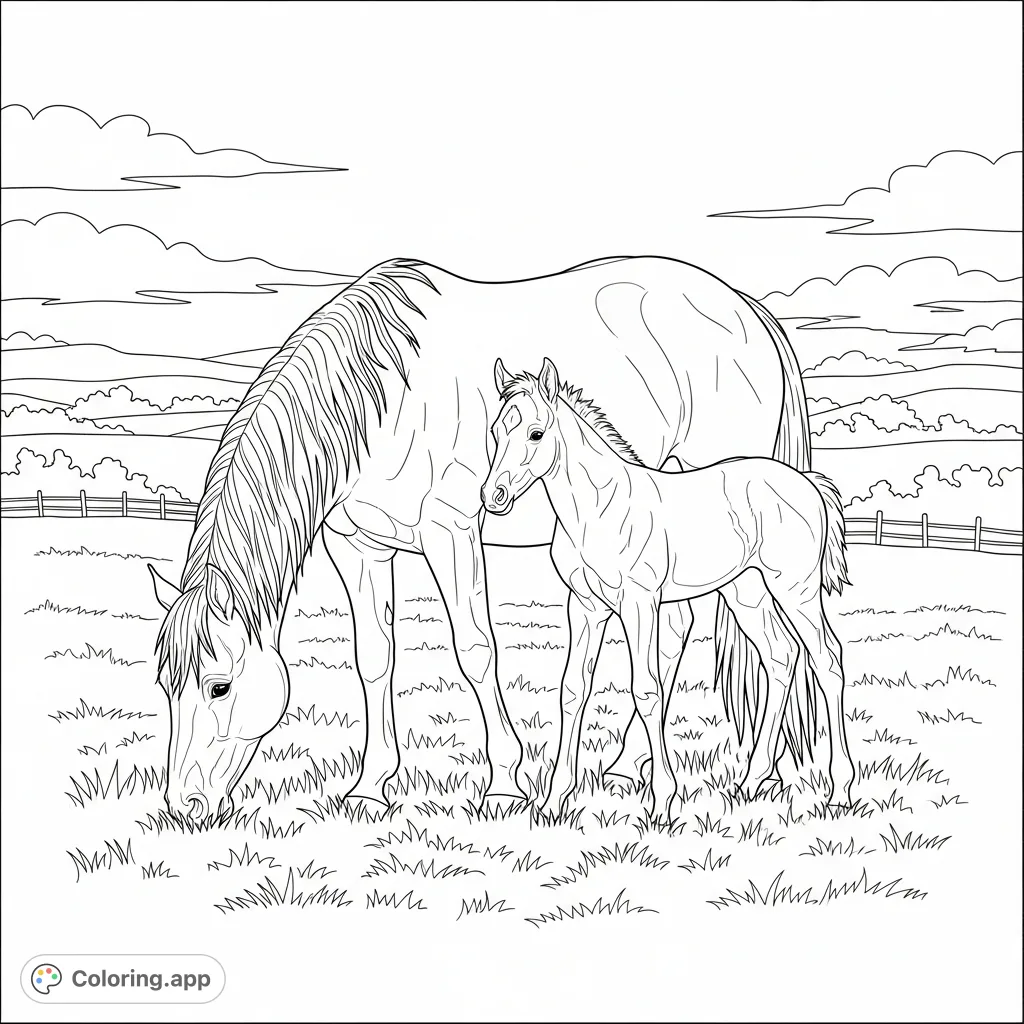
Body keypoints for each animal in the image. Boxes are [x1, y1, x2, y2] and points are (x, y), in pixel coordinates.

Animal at [147, 255, 811, 822]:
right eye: (164, 686)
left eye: (218, 686)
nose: (184, 808)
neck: (383, 398)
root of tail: (753, 314)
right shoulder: (358, 545)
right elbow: (374, 658)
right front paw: (371, 786)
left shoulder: (450, 531)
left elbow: (475, 649)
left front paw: (505, 783)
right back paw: (630, 768)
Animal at [481, 358, 854, 821]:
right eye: (495, 431)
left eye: (536, 433)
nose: (493, 496)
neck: (599, 510)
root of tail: (807, 483)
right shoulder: (584, 607)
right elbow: (572, 690)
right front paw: (553, 800)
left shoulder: (640, 603)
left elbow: (647, 689)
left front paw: (662, 801)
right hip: (746, 592)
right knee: (780, 656)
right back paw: (749, 782)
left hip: (795, 589)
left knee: (827, 660)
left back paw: (839, 791)